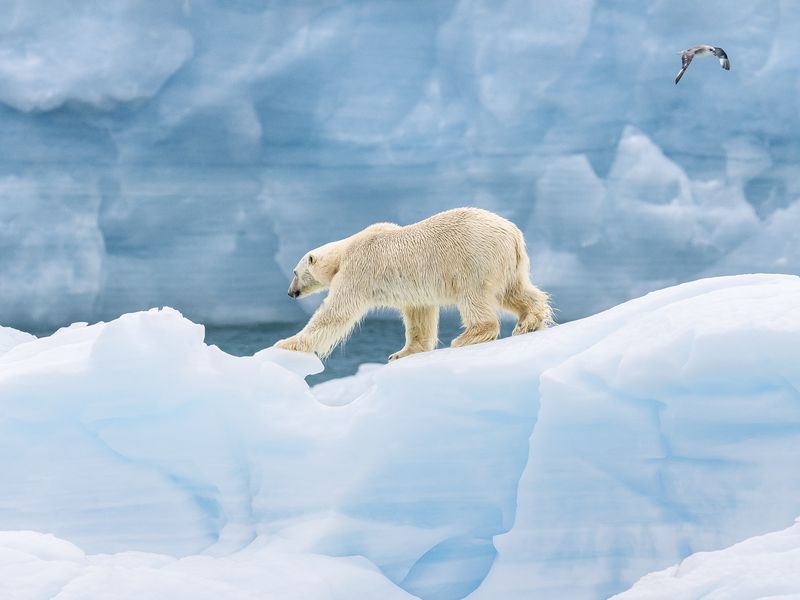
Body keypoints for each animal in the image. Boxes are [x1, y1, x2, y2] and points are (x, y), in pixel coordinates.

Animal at [274, 209, 552, 360]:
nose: (289, 292)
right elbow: (419, 315)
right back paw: (528, 321)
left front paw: (286, 343)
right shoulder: (414, 292)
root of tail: (513, 233)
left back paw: (467, 336)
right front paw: (400, 353)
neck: (345, 252)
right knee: (515, 290)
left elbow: (335, 312)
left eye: (295, 272)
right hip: (507, 263)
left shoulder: (358, 270)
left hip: (472, 258)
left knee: (473, 296)